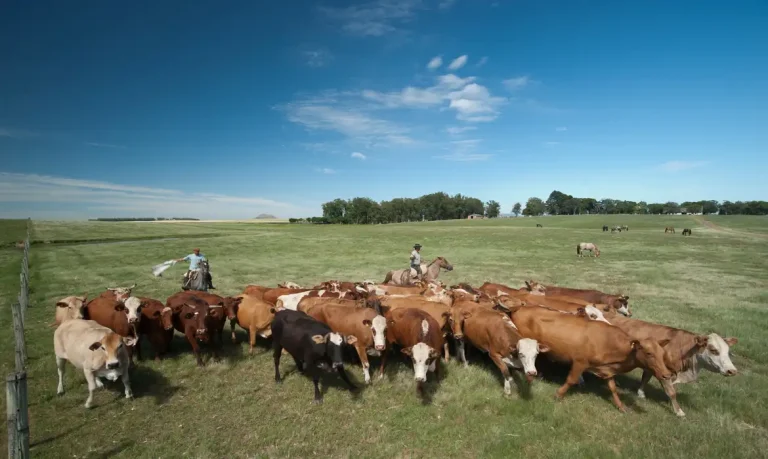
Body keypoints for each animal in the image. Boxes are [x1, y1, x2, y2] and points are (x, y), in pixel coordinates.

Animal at [500, 306, 668, 414]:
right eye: (648, 353)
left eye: (662, 353)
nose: (666, 375)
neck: (607, 341)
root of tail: (520, 308)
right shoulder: (580, 362)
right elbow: (571, 380)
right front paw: (558, 395)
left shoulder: (606, 369)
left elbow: (613, 388)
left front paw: (621, 406)